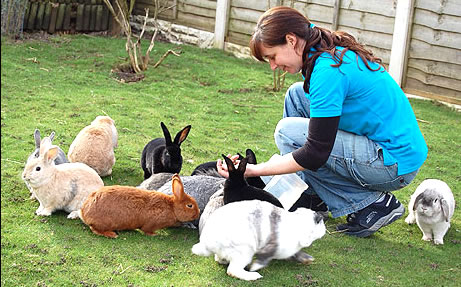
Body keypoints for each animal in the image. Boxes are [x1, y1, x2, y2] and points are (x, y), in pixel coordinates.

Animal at [191, 200, 328, 282]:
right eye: (319, 222)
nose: (324, 229)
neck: (298, 225)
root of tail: (207, 243)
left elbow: (296, 254)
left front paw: (307, 259)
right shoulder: (272, 247)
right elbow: (264, 258)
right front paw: (255, 267)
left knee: (220, 259)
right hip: (245, 252)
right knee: (232, 270)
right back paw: (253, 276)